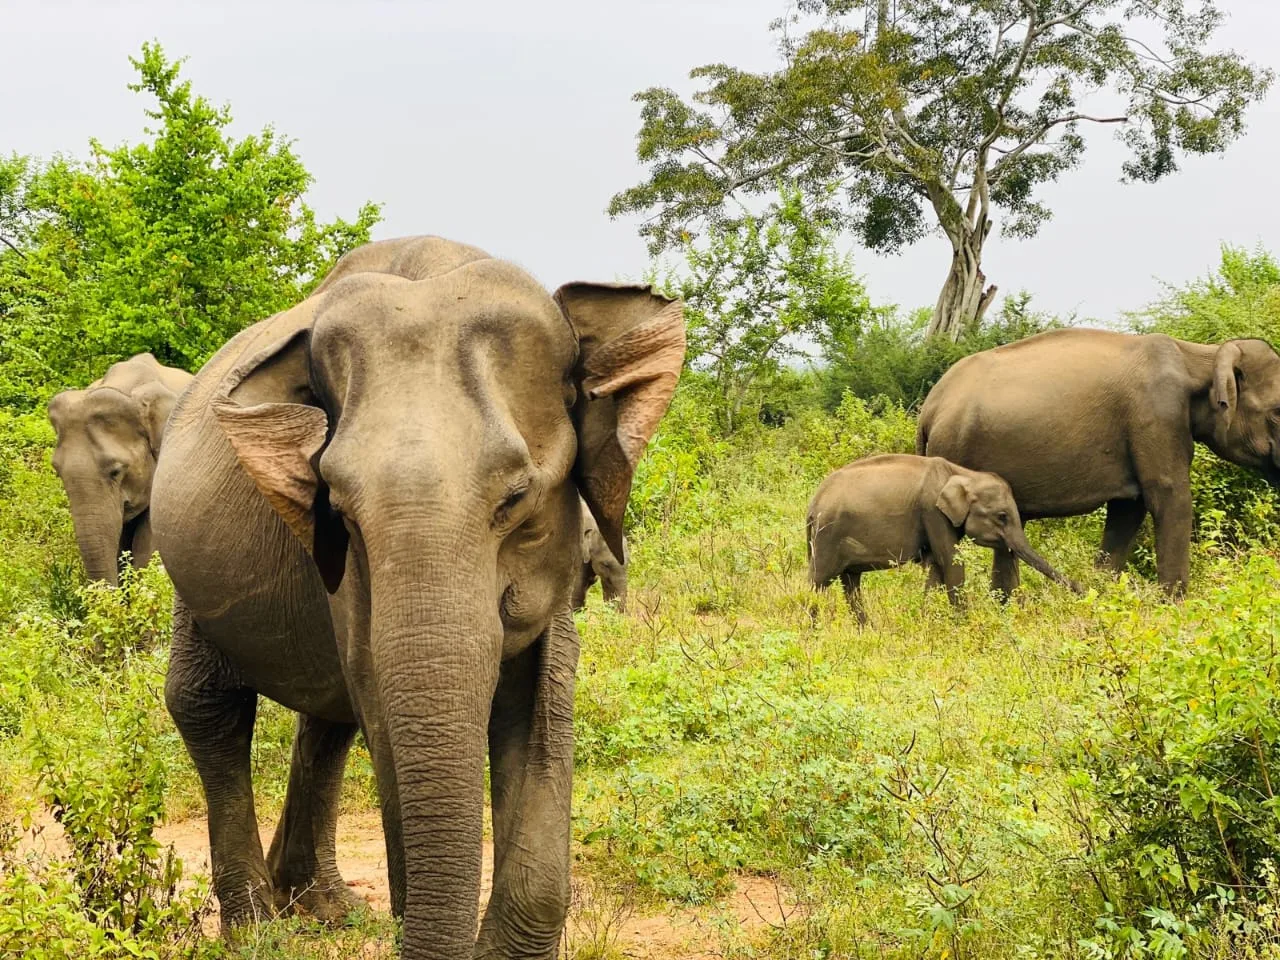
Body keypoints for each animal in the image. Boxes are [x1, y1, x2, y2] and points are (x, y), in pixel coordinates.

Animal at [148, 235, 686, 960]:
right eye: (339, 508)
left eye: (517, 497)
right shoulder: (346, 569)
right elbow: (380, 699)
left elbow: (543, 700)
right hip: (186, 566)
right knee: (210, 705)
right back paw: (260, 929)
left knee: (328, 716)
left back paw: (322, 906)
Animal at [808, 453, 1080, 624]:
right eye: (1002, 516)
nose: (1080, 588)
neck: (963, 473)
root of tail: (814, 503)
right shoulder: (932, 511)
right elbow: (950, 560)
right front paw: (964, 626)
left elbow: (935, 567)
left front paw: (926, 621)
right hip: (827, 536)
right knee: (818, 580)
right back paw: (812, 631)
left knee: (851, 583)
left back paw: (867, 630)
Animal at [916, 335, 1280, 599]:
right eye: (1277, 413)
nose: (1080, 592)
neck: (1199, 355)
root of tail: (929, 408)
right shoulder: (1157, 416)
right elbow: (1169, 498)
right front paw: (1175, 608)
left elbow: (1128, 510)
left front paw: (1104, 596)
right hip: (953, 449)